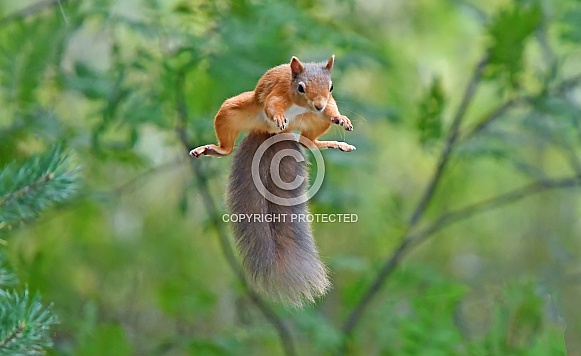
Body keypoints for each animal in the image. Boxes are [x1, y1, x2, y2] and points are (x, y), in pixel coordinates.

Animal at [190, 55, 354, 306]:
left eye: (331, 87)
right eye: (300, 87)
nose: (318, 106)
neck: (300, 103)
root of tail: (270, 133)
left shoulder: (327, 105)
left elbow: (333, 108)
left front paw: (341, 118)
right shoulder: (277, 93)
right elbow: (272, 104)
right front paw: (278, 116)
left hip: (316, 122)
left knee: (310, 142)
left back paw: (336, 143)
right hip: (231, 111)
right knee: (227, 145)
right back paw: (211, 149)